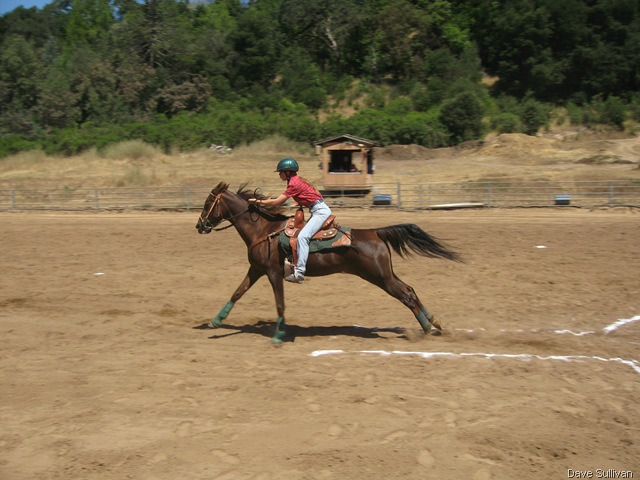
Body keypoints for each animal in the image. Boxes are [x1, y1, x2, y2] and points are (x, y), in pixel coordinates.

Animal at [195, 181, 460, 344]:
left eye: (208, 204)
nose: (199, 225)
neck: (263, 230)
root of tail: (375, 232)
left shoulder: (272, 273)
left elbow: (280, 304)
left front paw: (278, 336)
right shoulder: (256, 270)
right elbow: (237, 293)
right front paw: (215, 321)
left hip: (379, 276)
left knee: (406, 295)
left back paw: (427, 329)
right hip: (384, 274)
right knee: (410, 290)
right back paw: (433, 323)